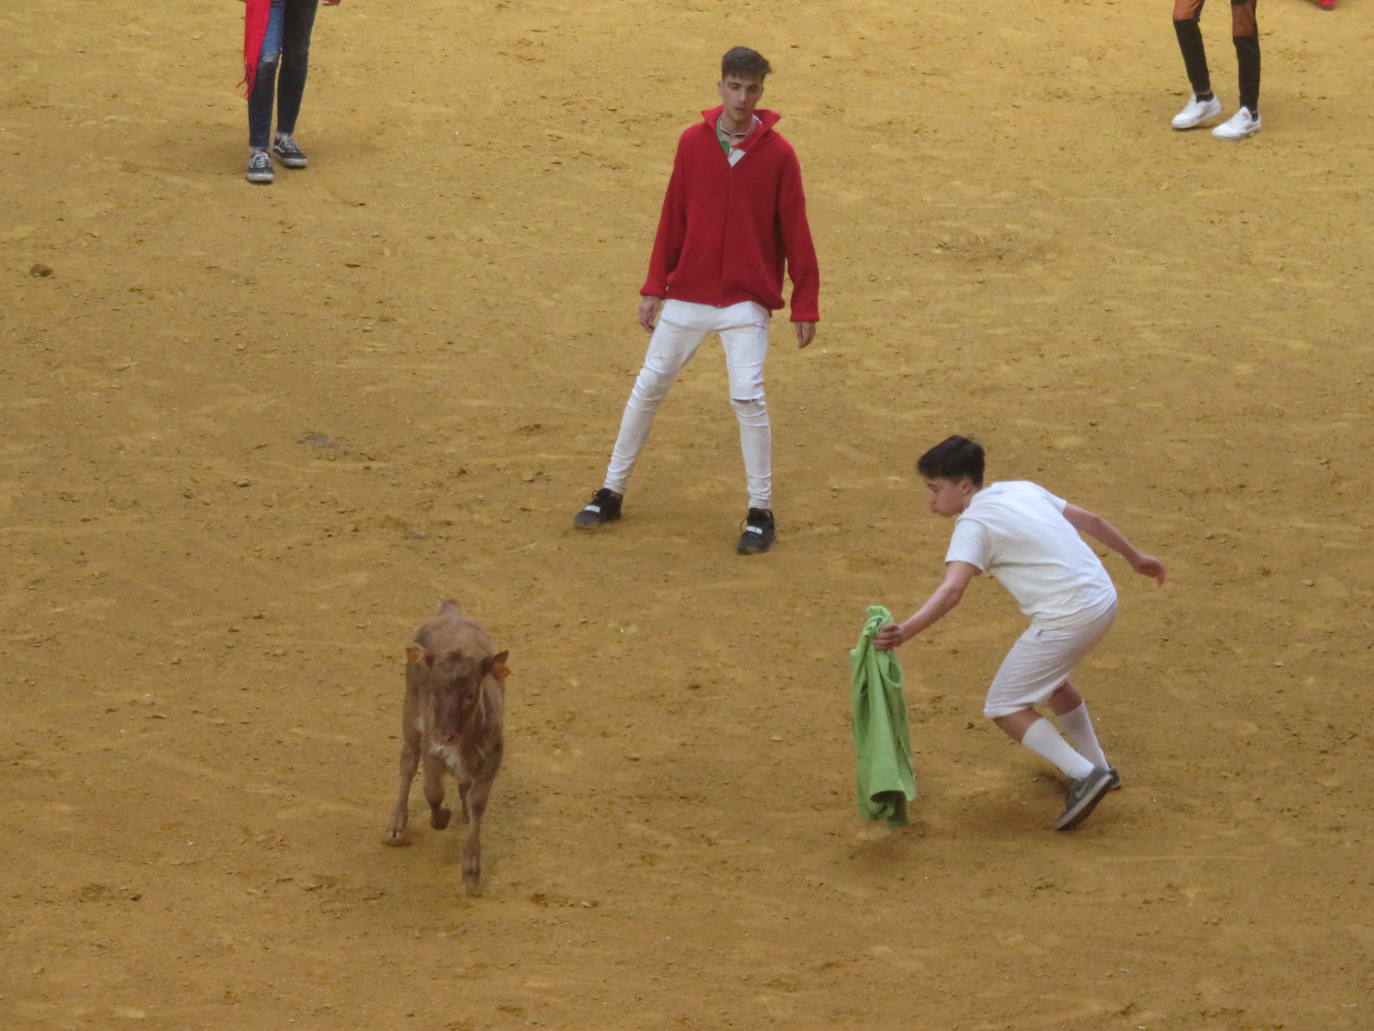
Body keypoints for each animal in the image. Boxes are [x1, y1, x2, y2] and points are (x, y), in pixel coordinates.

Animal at [381, 602, 511, 890]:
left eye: (471, 694)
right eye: (434, 689)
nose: (445, 735)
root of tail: (450, 611)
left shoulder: (493, 758)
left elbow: (477, 801)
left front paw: (471, 868)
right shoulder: (431, 750)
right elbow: (433, 791)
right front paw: (441, 819)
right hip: (410, 718)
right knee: (407, 764)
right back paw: (396, 826)